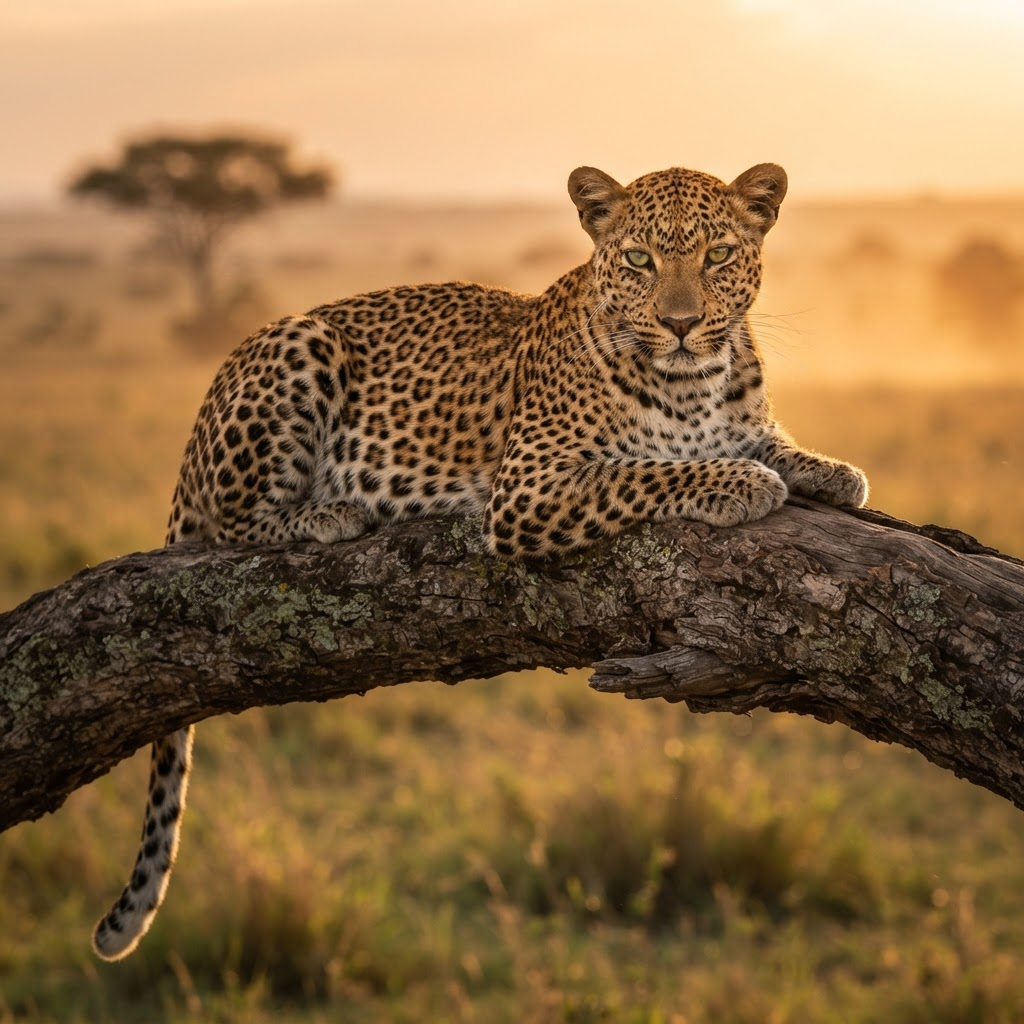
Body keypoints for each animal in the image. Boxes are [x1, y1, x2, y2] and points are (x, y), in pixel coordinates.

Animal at [92, 160, 868, 960]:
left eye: (717, 256)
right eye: (638, 260)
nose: (681, 324)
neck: (696, 383)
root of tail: (195, 431)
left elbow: (766, 439)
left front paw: (830, 470)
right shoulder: (530, 485)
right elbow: (648, 470)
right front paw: (741, 483)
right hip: (300, 346)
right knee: (233, 528)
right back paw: (329, 511)